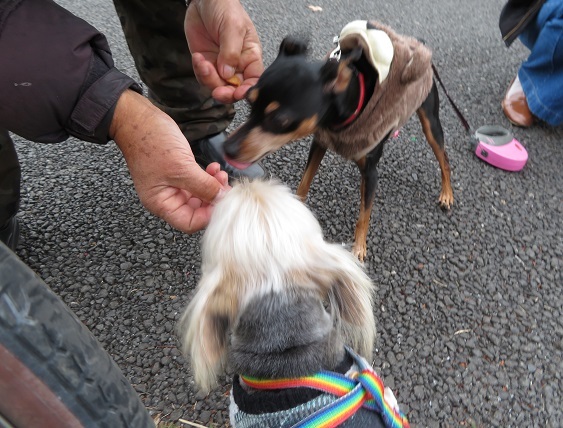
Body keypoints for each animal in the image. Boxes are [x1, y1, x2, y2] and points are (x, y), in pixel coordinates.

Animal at [224, 20, 454, 262]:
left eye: (279, 120)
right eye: (249, 101)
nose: (227, 147)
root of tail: (419, 43)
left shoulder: (371, 172)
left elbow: (364, 215)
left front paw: (359, 248)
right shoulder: (320, 143)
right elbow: (304, 182)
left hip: (430, 121)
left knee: (444, 158)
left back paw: (447, 194)